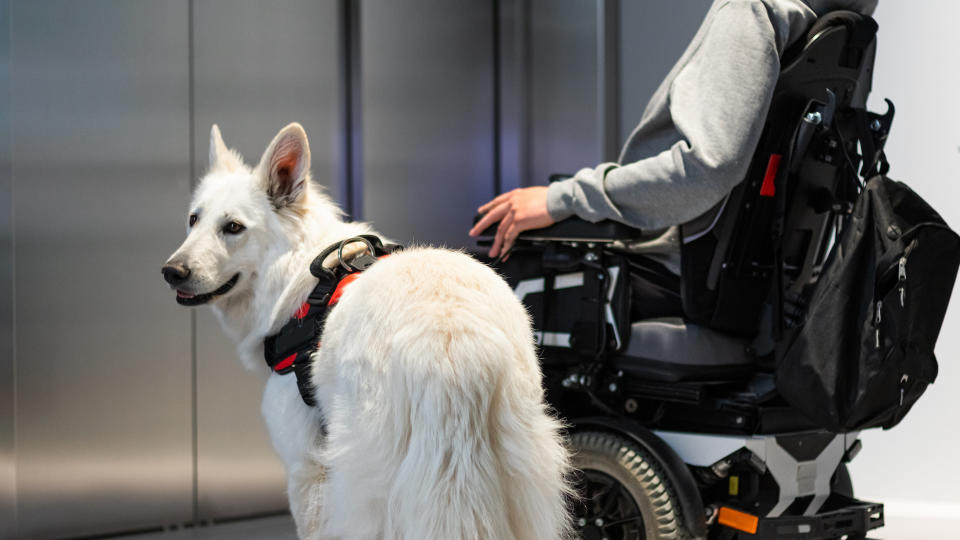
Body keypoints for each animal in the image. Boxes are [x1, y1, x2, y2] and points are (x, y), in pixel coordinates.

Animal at [162, 123, 572, 540]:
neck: (297, 276)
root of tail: (452, 342)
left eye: (233, 228)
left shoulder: (306, 468)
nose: (171, 272)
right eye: (194, 219)